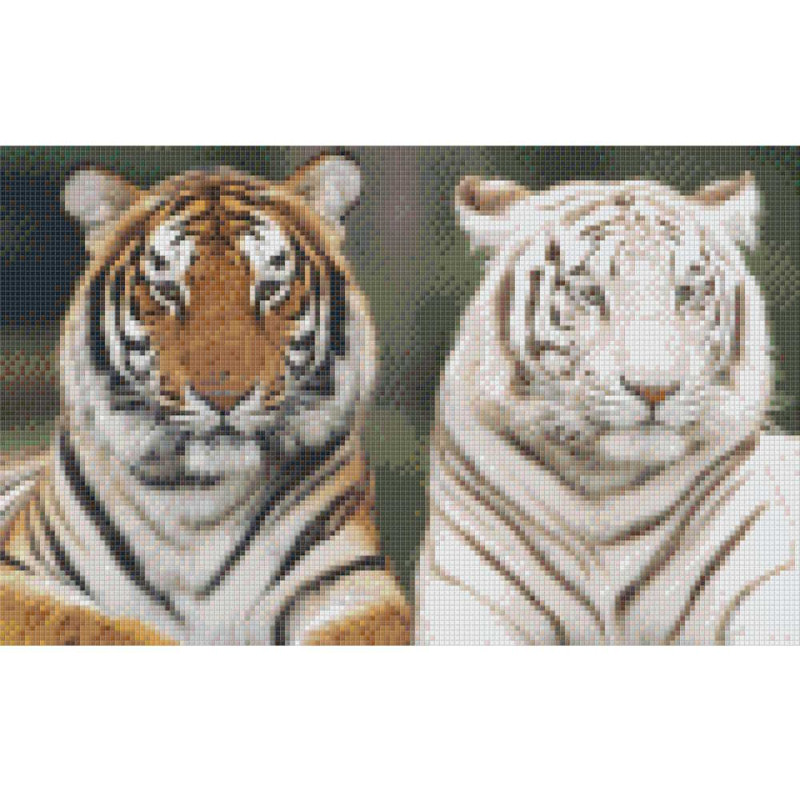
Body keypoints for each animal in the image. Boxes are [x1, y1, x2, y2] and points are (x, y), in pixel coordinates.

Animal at [0, 154, 410, 645]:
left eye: (269, 287)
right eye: (168, 290)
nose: (223, 396)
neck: (197, 502)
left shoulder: (349, 581)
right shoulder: (19, 574)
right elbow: (97, 627)